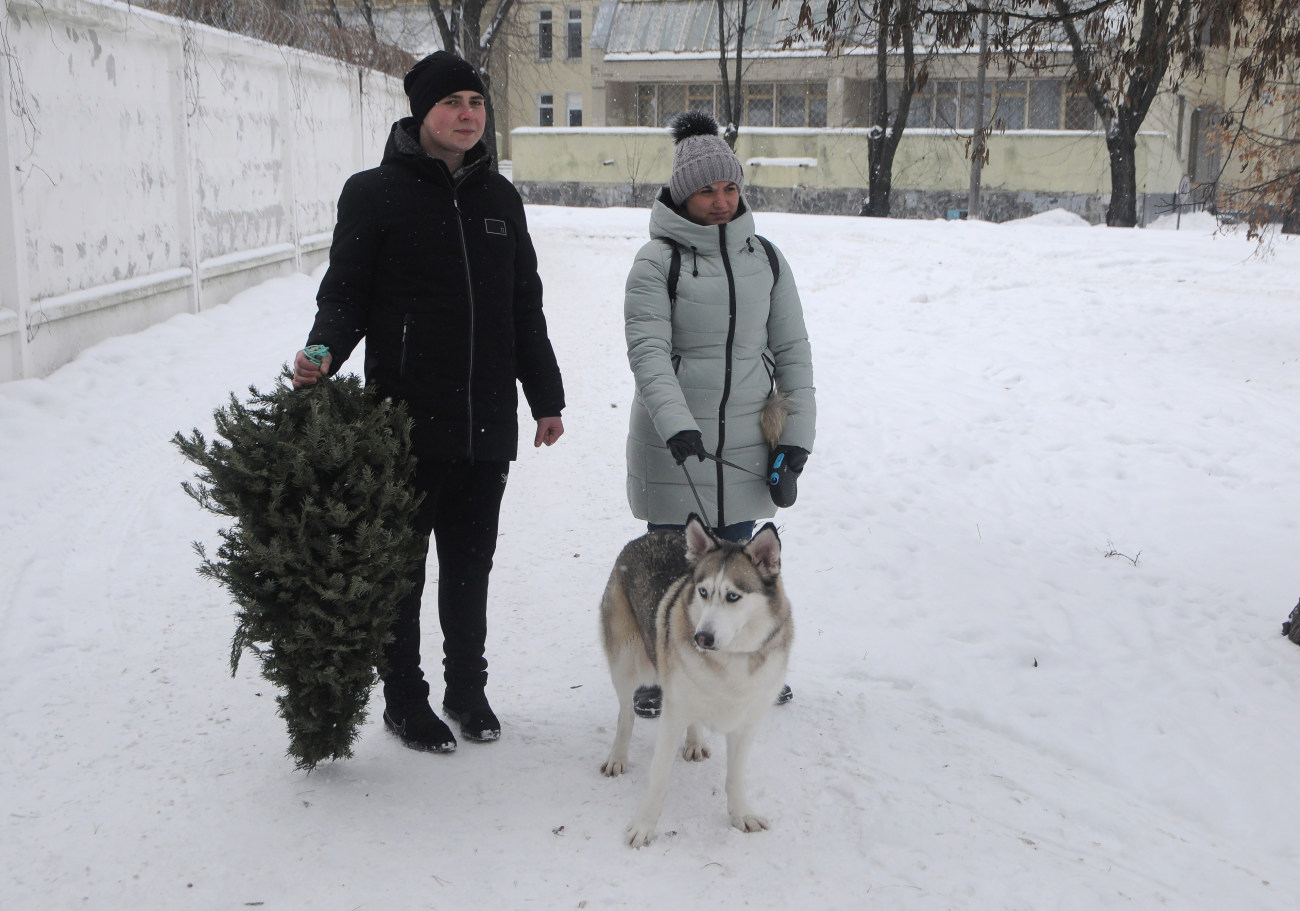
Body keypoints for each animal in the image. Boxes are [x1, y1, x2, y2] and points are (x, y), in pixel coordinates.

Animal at [598, 512, 790, 847]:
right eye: (703, 592)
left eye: (733, 597)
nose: (701, 637)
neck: (728, 661)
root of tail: (650, 535)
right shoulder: (671, 715)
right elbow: (659, 778)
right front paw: (644, 826)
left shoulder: (747, 721)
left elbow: (735, 777)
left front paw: (741, 815)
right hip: (627, 663)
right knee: (625, 714)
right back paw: (618, 756)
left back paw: (695, 740)